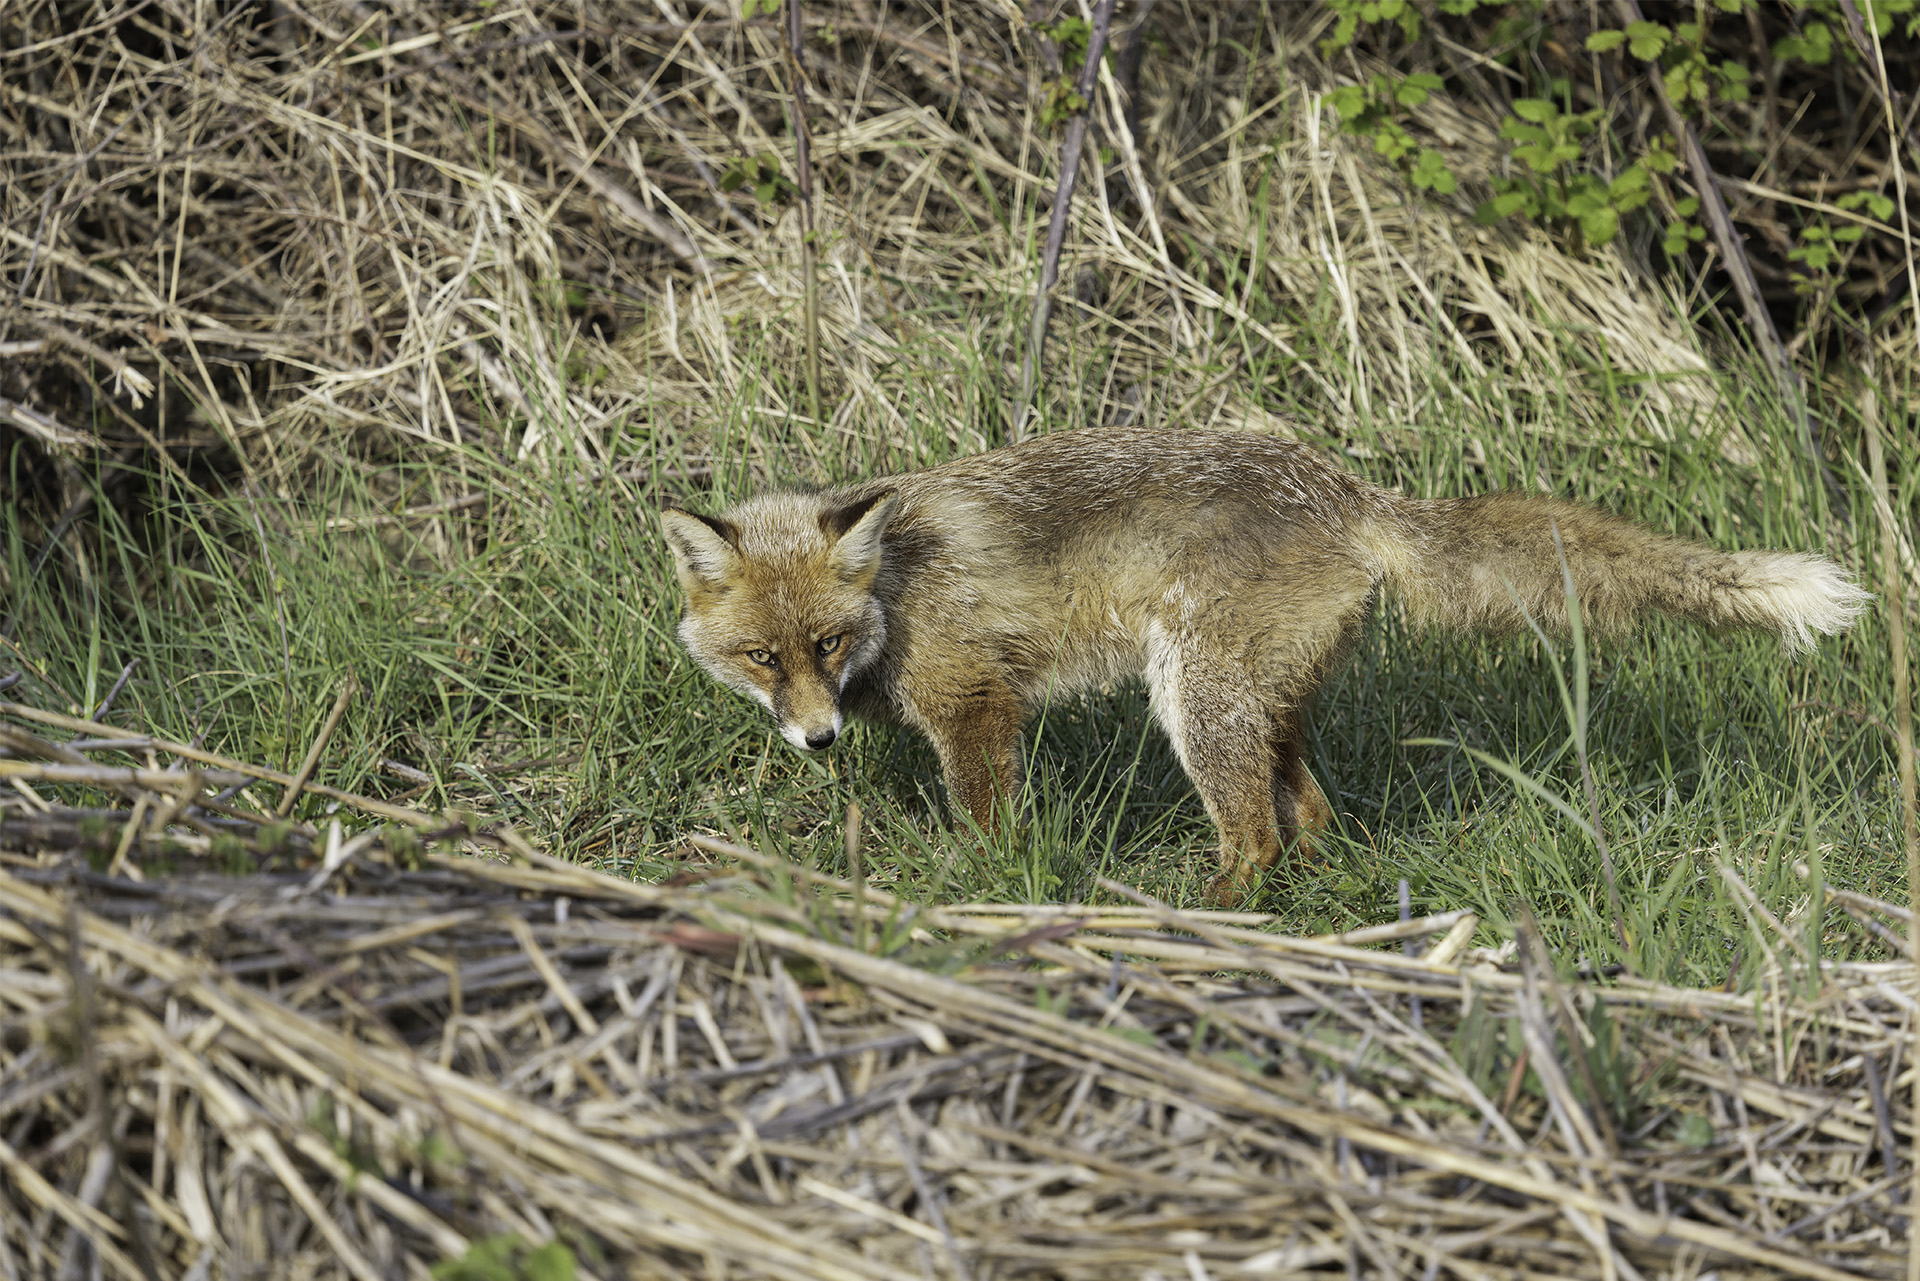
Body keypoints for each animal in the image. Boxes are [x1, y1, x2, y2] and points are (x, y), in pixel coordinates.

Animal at [659, 425, 1868, 905]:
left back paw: (1206, 914)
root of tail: (1340, 484)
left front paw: (985, 887)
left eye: (826, 645)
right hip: (1257, 701)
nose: (817, 738)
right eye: (764, 657)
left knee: (1256, 836)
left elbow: (987, 819)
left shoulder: (975, 703)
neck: (896, 594)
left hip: (1198, 698)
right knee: (1312, 817)